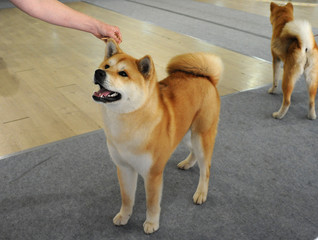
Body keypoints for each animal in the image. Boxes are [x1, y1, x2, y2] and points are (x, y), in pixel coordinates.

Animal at [91, 39, 221, 234]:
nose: (98, 72)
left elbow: (152, 203)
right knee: (193, 152)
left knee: (206, 168)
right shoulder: (124, 168)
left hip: (201, 135)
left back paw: (201, 193)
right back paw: (187, 163)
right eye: (106, 66)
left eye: (123, 74)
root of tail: (206, 78)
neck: (127, 123)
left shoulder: (152, 174)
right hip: (185, 132)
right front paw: (124, 216)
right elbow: (127, 198)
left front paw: (152, 223)